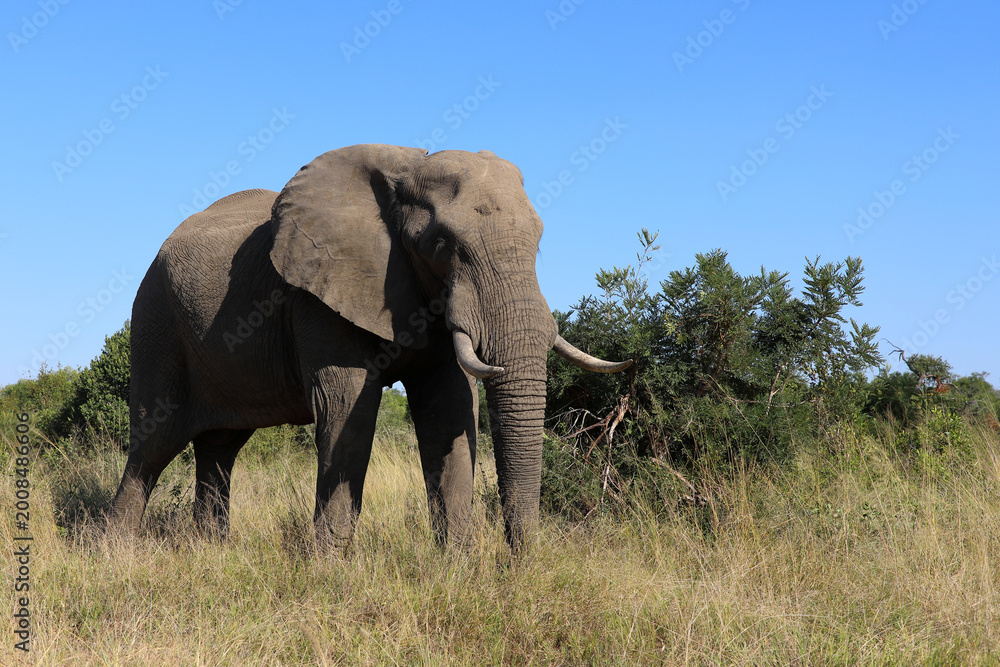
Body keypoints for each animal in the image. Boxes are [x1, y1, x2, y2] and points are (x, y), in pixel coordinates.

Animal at [108, 144, 630, 552]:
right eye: (442, 244)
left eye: (539, 241)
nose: (516, 563)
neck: (409, 169)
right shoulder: (317, 295)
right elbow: (346, 411)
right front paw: (330, 568)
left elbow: (449, 409)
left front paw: (458, 568)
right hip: (156, 321)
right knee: (153, 445)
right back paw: (116, 553)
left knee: (220, 447)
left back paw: (210, 551)